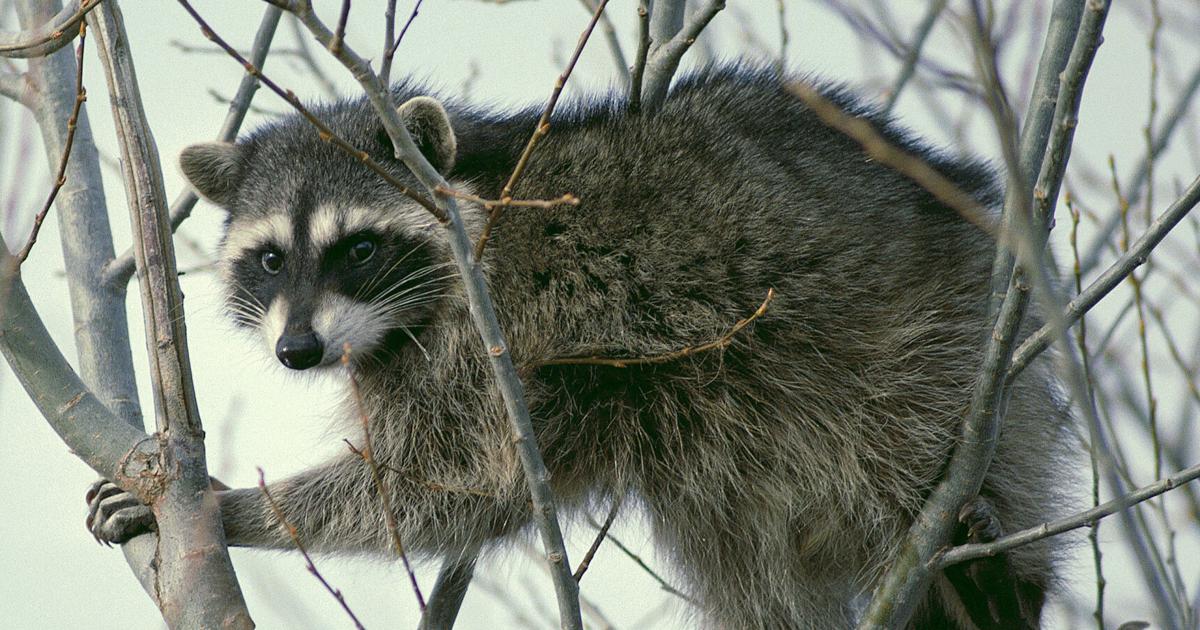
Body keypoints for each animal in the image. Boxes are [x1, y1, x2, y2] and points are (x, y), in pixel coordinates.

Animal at [87, 67, 1074, 629]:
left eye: (357, 249)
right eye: (267, 259)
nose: (298, 350)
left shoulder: (502, 334)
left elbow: (445, 482)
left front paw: (235, 509)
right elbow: (450, 488)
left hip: (926, 341)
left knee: (908, 431)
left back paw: (999, 577)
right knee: (743, 549)